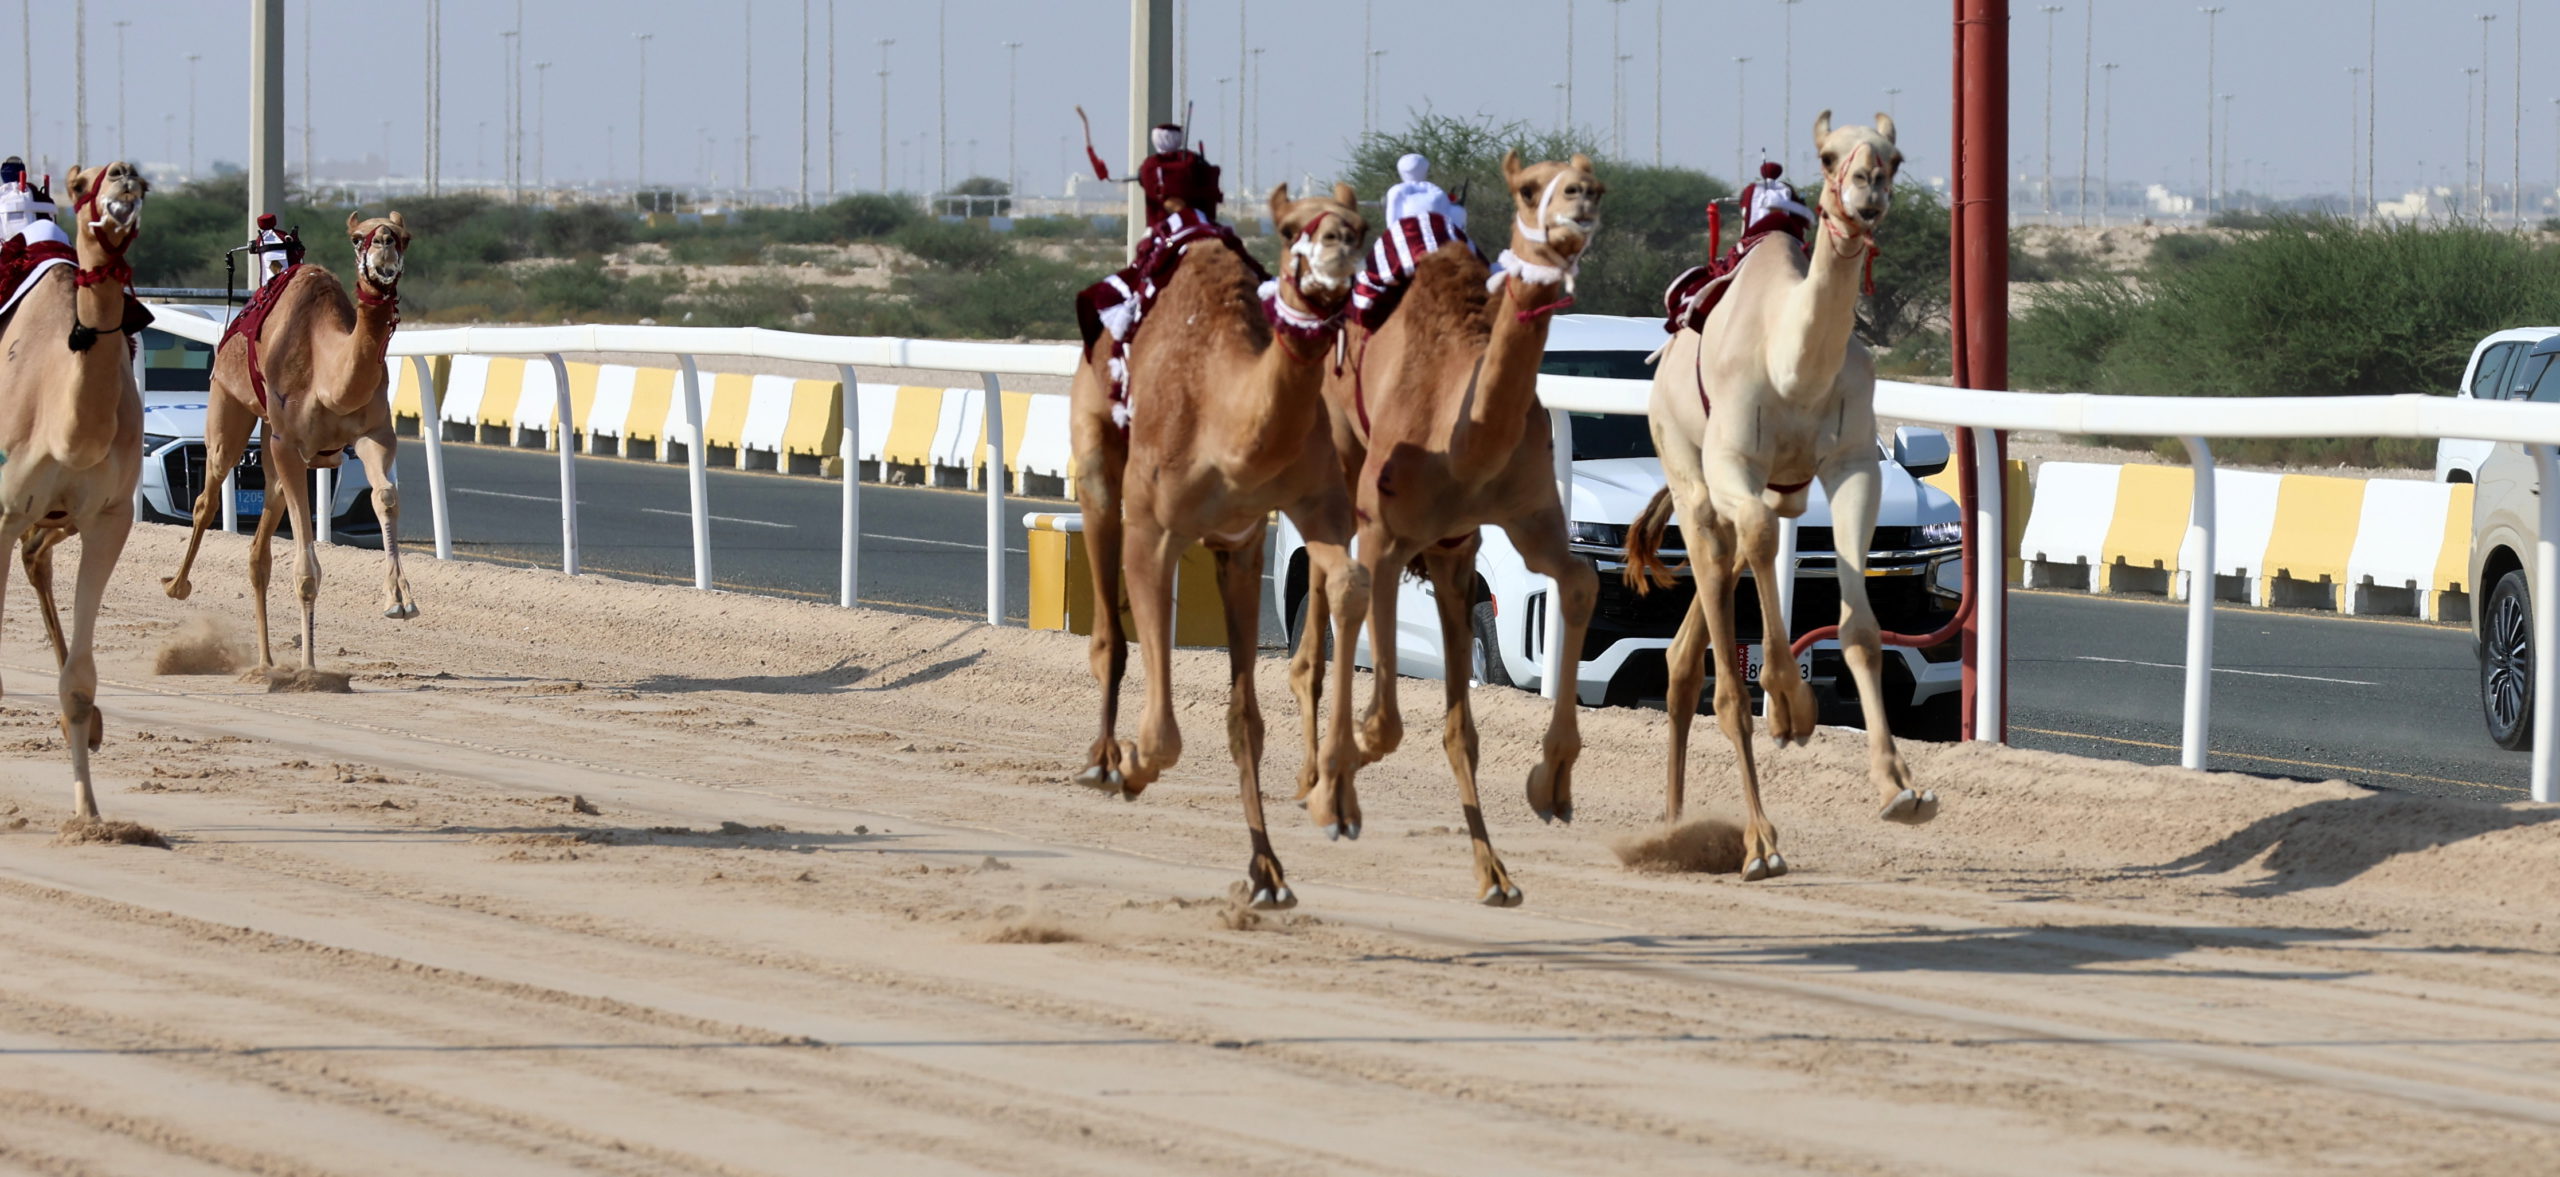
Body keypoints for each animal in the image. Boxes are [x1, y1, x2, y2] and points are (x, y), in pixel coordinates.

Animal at [162, 211, 414, 670]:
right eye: (357, 238)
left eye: (405, 237)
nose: (384, 244)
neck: (328, 373)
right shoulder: (288, 444)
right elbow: (306, 567)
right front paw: (310, 668)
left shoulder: (373, 435)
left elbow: (385, 496)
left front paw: (399, 599)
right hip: (231, 411)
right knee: (208, 497)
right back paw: (177, 585)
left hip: (269, 446)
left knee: (258, 549)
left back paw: (265, 661)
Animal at [1064, 184, 1382, 905]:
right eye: (1291, 228)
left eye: (1362, 225)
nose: (1339, 245)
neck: (1230, 422)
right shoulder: (1153, 531)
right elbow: (1163, 732)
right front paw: (1133, 766)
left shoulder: (1286, 521)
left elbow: (1344, 590)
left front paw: (1314, 823)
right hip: (1096, 460)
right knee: (1107, 632)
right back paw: (1103, 760)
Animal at [1290, 151, 1607, 905]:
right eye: (1530, 188)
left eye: (1592, 180)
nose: (1580, 201)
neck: (1460, 437)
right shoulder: (1385, 531)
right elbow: (1383, 718)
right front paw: (1336, 781)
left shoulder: (1519, 521)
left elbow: (1580, 578)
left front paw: (1549, 786)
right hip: (1340, 465)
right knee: (1326, 606)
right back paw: (1317, 777)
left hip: (1448, 553)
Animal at [1617, 112, 1935, 880]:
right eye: (1828, 155)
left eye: (1895, 159)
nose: (1866, 188)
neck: (1793, 369)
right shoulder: (1735, 460)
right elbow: (1762, 551)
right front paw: (1790, 709)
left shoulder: (1853, 467)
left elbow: (1862, 629)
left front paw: (1900, 787)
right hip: (1690, 473)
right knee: (1725, 580)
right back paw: (1752, 838)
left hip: (1754, 496)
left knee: (1688, 644)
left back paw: (1675, 825)